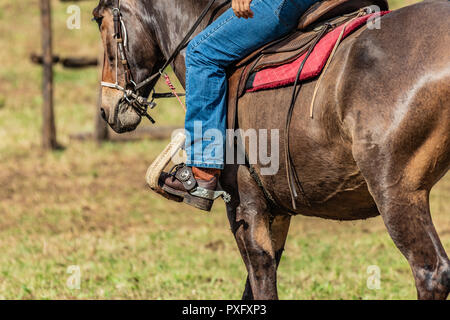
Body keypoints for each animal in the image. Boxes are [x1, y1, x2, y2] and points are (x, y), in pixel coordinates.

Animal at [92, 0, 450, 300]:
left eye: (102, 21)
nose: (108, 109)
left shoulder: (246, 206)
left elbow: (262, 278)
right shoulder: (276, 210)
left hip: (395, 192)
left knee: (431, 272)